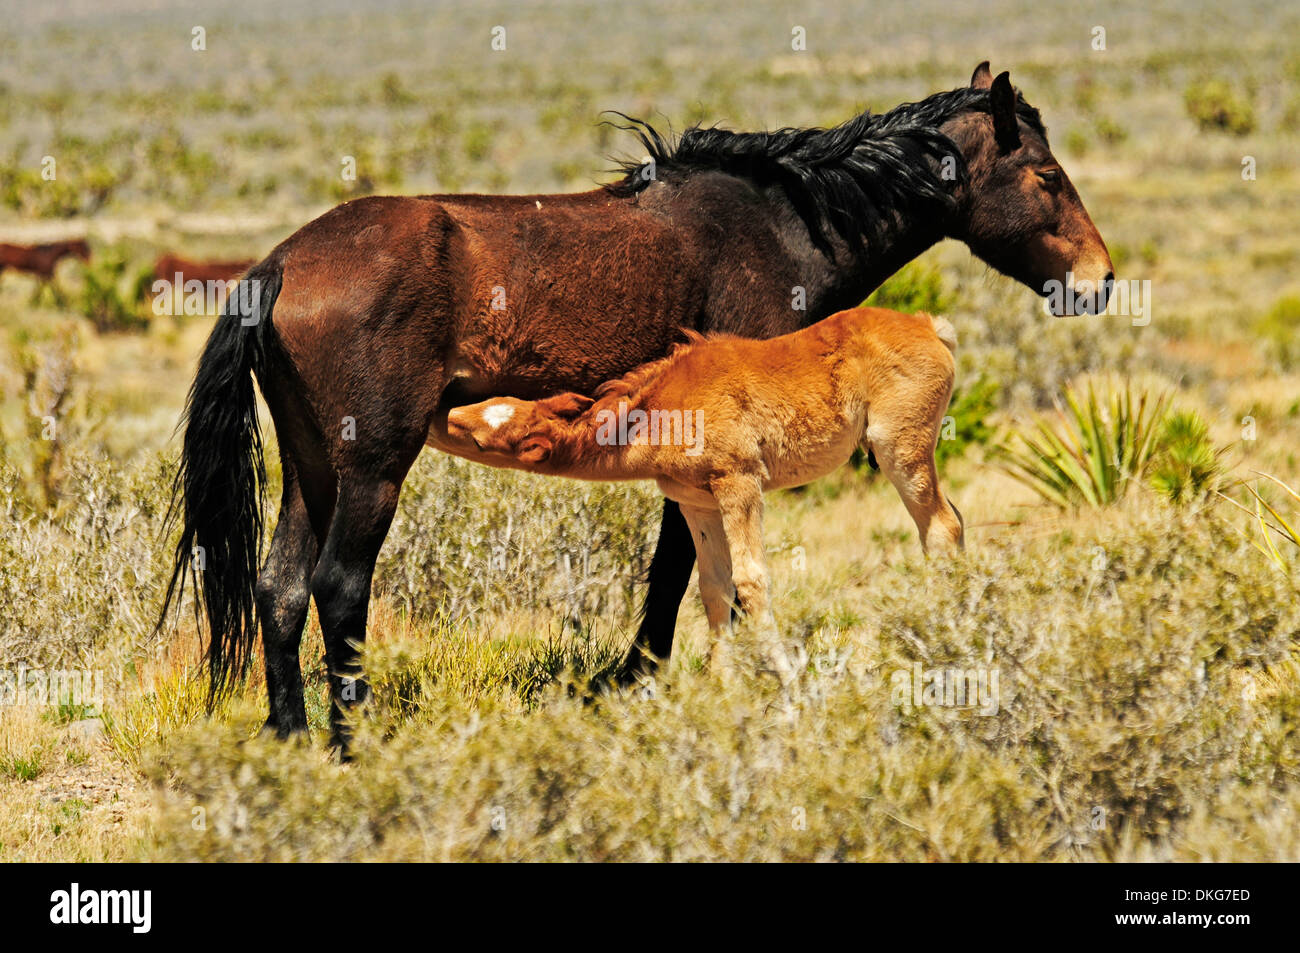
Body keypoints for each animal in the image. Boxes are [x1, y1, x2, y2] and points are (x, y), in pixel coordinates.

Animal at [159, 63, 1118, 754]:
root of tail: (280, 262)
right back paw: (351, 744)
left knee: (280, 587)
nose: (1102, 281)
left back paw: (289, 744)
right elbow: (680, 569)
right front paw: (640, 676)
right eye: (1045, 173)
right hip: (372, 468)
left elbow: (689, 567)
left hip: (311, 467)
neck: (786, 222)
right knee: (337, 584)